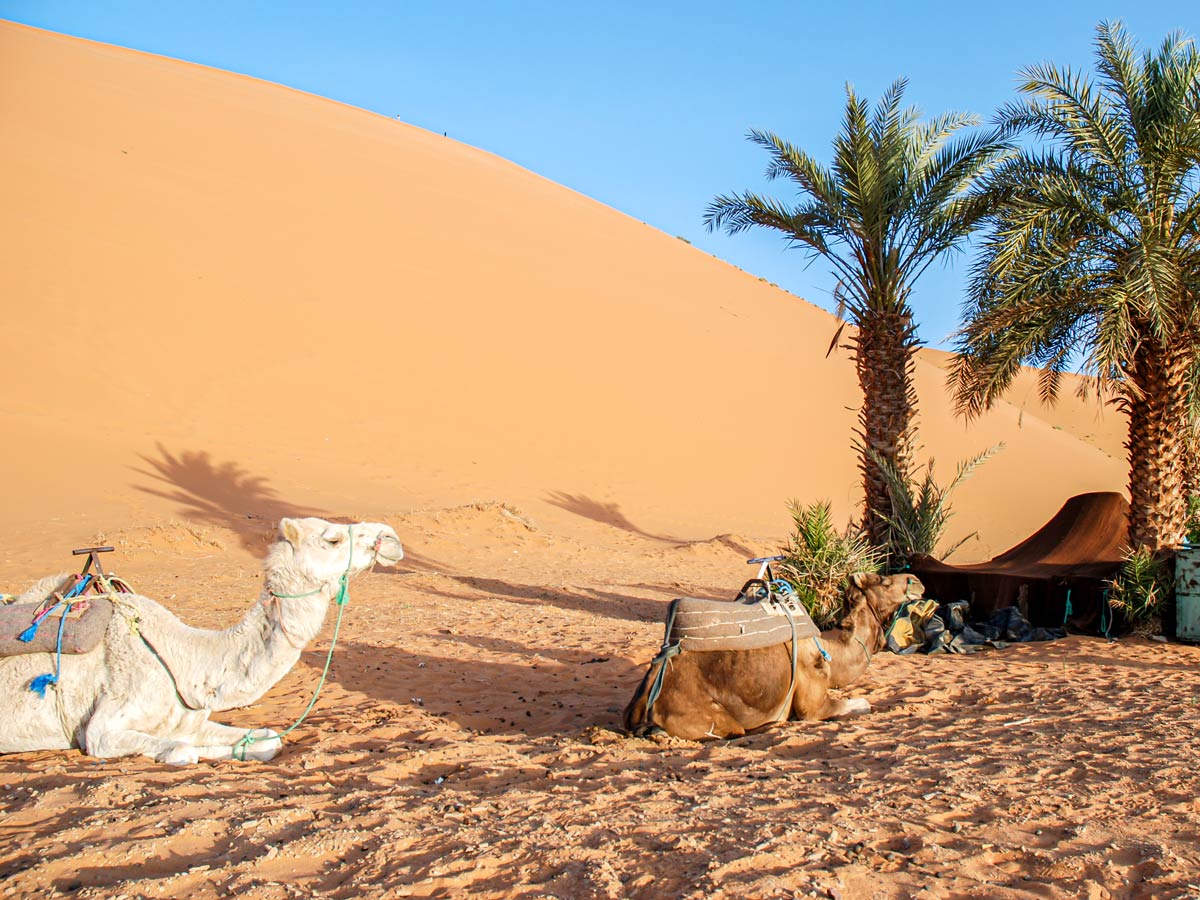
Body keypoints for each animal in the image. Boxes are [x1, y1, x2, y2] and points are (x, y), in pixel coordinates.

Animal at [0, 518, 405, 763]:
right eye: (332, 538)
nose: (391, 538)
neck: (184, 659)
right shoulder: (102, 731)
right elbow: (182, 752)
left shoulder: (187, 719)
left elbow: (268, 740)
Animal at [624, 573, 921, 744]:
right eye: (883, 581)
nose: (916, 580)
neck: (830, 652)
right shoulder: (813, 706)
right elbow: (863, 705)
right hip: (706, 717)